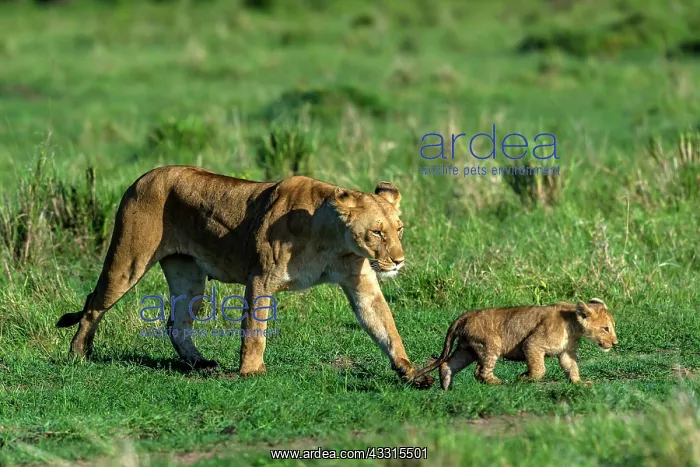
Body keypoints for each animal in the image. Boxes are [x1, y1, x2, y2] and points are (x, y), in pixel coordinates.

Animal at [55, 165, 435, 389]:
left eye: (399, 229)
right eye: (377, 232)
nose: (398, 261)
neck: (331, 239)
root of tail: (142, 177)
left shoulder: (361, 284)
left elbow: (385, 328)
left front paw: (411, 372)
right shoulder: (260, 278)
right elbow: (255, 330)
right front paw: (251, 372)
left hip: (188, 276)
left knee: (177, 324)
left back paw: (200, 363)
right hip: (129, 259)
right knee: (93, 304)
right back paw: (78, 354)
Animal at [411, 298, 618, 389]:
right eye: (606, 328)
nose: (615, 343)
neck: (573, 326)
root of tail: (466, 314)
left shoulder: (566, 352)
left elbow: (572, 367)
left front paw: (579, 383)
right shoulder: (532, 344)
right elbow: (539, 369)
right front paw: (523, 378)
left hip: (467, 349)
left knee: (448, 363)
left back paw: (447, 388)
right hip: (490, 345)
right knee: (480, 372)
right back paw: (501, 383)